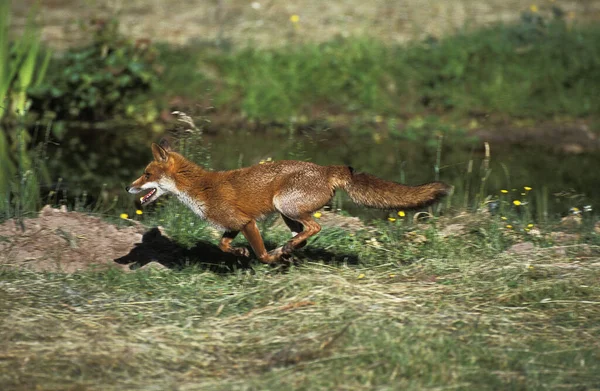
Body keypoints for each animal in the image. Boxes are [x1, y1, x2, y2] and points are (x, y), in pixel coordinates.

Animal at [126, 141, 450, 264]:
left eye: (146, 174)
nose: (128, 187)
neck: (199, 188)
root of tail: (328, 168)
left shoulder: (245, 221)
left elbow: (259, 253)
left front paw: (265, 258)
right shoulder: (234, 224)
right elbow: (223, 244)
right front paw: (241, 252)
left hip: (285, 205)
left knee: (315, 228)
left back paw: (286, 251)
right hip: (287, 214)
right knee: (304, 233)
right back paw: (290, 250)